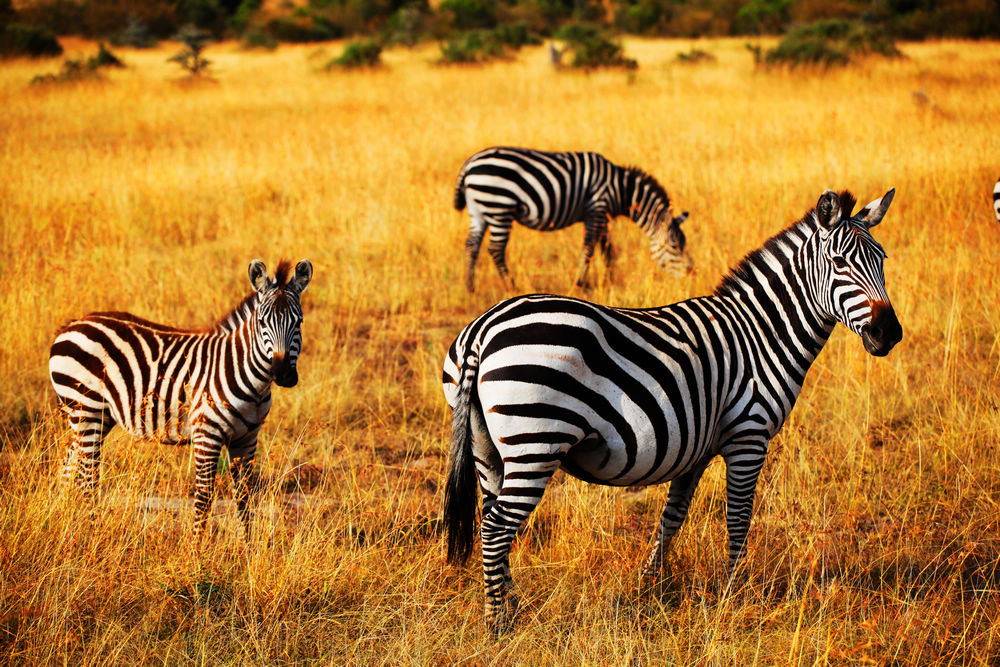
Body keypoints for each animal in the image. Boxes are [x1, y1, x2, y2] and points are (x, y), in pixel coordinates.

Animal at [49, 258, 312, 540]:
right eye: (262, 322)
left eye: (299, 322)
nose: (283, 374)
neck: (252, 383)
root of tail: (71, 325)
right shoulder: (207, 434)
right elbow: (204, 497)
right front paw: (198, 549)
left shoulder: (247, 438)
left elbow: (244, 496)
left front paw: (248, 548)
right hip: (86, 410)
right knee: (87, 478)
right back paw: (90, 531)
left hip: (95, 417)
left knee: (69, 466)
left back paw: (65, 521)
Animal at [442, 187, 904, 632]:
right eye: (840, 262)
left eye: (882, 260)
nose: (889, 333)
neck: (761, 334)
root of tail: (481, 331)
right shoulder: (749, 436)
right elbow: (739, 518)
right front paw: (734, 594)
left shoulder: (695, 448)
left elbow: (672, 517)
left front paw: (648, 583)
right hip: (535, 441)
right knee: (497, 526)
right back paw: (499, 623)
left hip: (488, 448)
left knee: (491, 519)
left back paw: (511, 605)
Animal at [456, 146, 696, 292]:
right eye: (675, 247)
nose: (691, 274)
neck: (621, 190)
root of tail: (469, 164)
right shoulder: (596, 209)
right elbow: (589, 248)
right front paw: (581, 283)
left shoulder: (603, 216)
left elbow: (606, 248)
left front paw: (609, 279)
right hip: (499, 206)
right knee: (496, 249)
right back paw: (511, 286)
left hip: (479, 210)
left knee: (471, 245)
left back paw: (470, 287)